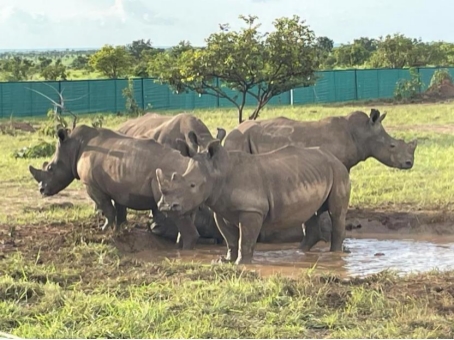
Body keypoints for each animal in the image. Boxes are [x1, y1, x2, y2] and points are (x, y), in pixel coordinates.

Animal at [28, 125, 204, 250]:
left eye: (50, 168)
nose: (41, 190)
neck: (72, 148)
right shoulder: (119, 187)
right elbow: (120, 209)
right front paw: (119, 231)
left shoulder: (91, 185)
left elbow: (106, 207)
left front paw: (104, 230)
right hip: (186, 186)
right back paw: (179, 245)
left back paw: (185, 249)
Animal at [155, 131, 352, 264]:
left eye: (192, 186)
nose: (165, 207)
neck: (218, 171)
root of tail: (335, 158)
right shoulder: (219, 208)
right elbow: (230, 239)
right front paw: (225, 261)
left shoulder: (252, 210)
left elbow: (245, 239)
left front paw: (241, 264)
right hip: (314, 172)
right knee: (309, 213)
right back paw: (299, 252)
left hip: (338, 171)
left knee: (336, 213)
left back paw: (334, 254)